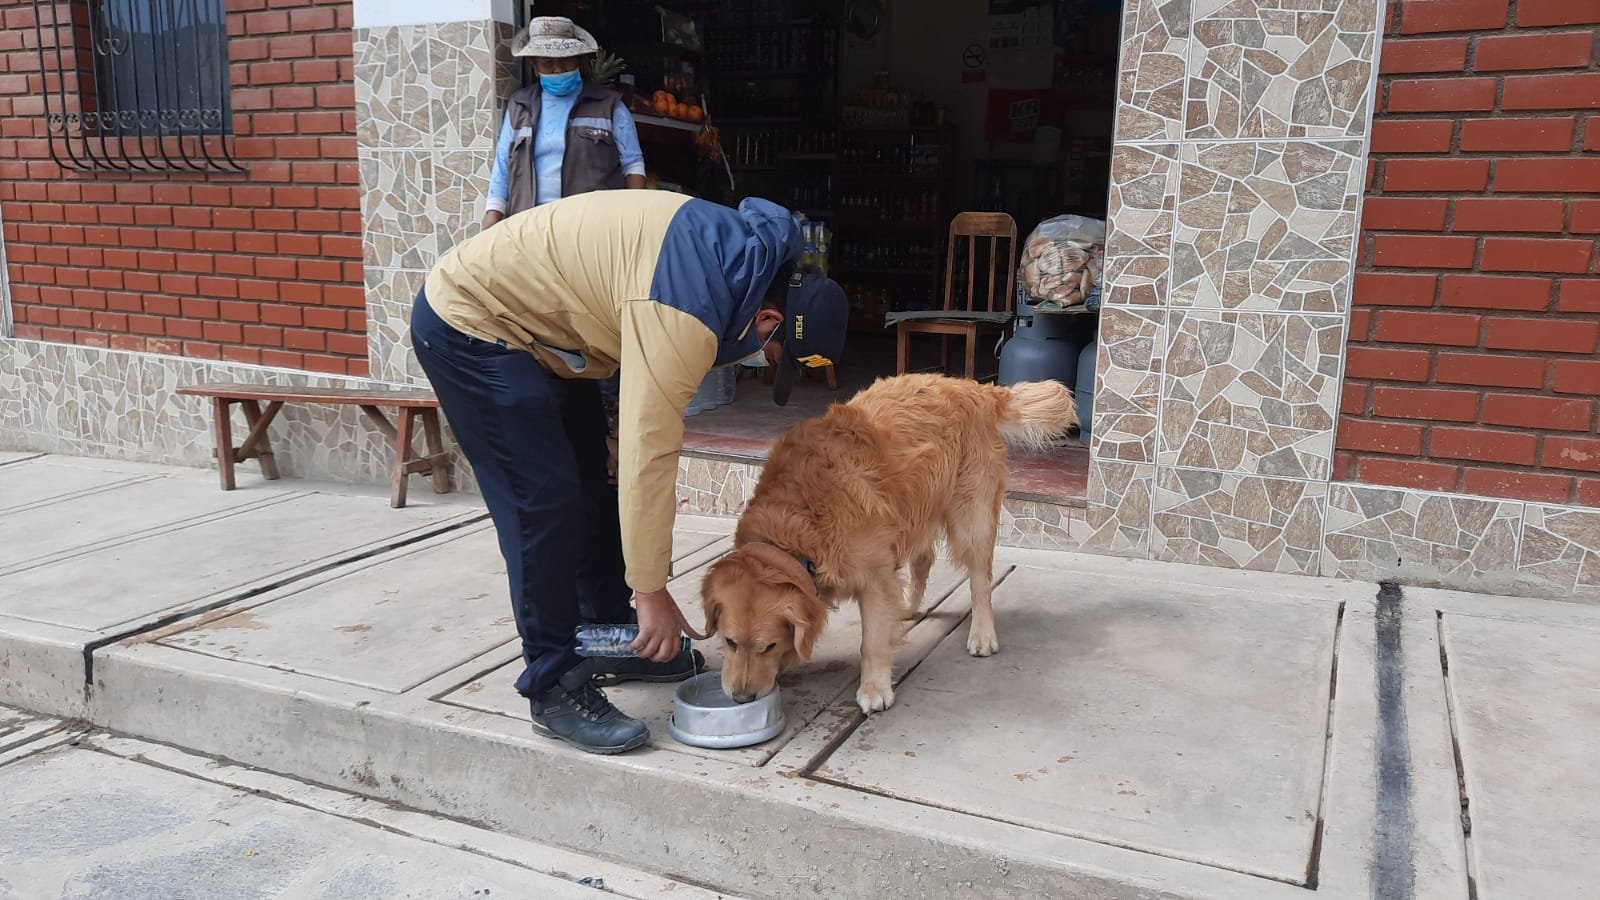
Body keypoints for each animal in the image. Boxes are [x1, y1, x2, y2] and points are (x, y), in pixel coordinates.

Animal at [697, 368, 1075, 711]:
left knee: (980, 580)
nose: (741, 697)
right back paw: (907, 606)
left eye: (769, 646)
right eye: (730, 642)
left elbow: (873, 643)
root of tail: (974, 388)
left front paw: (874, 689)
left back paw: (982, 635)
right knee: (923, 560)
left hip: (971, 516)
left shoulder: (874, 577)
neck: (797, 529)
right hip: (917, 507)